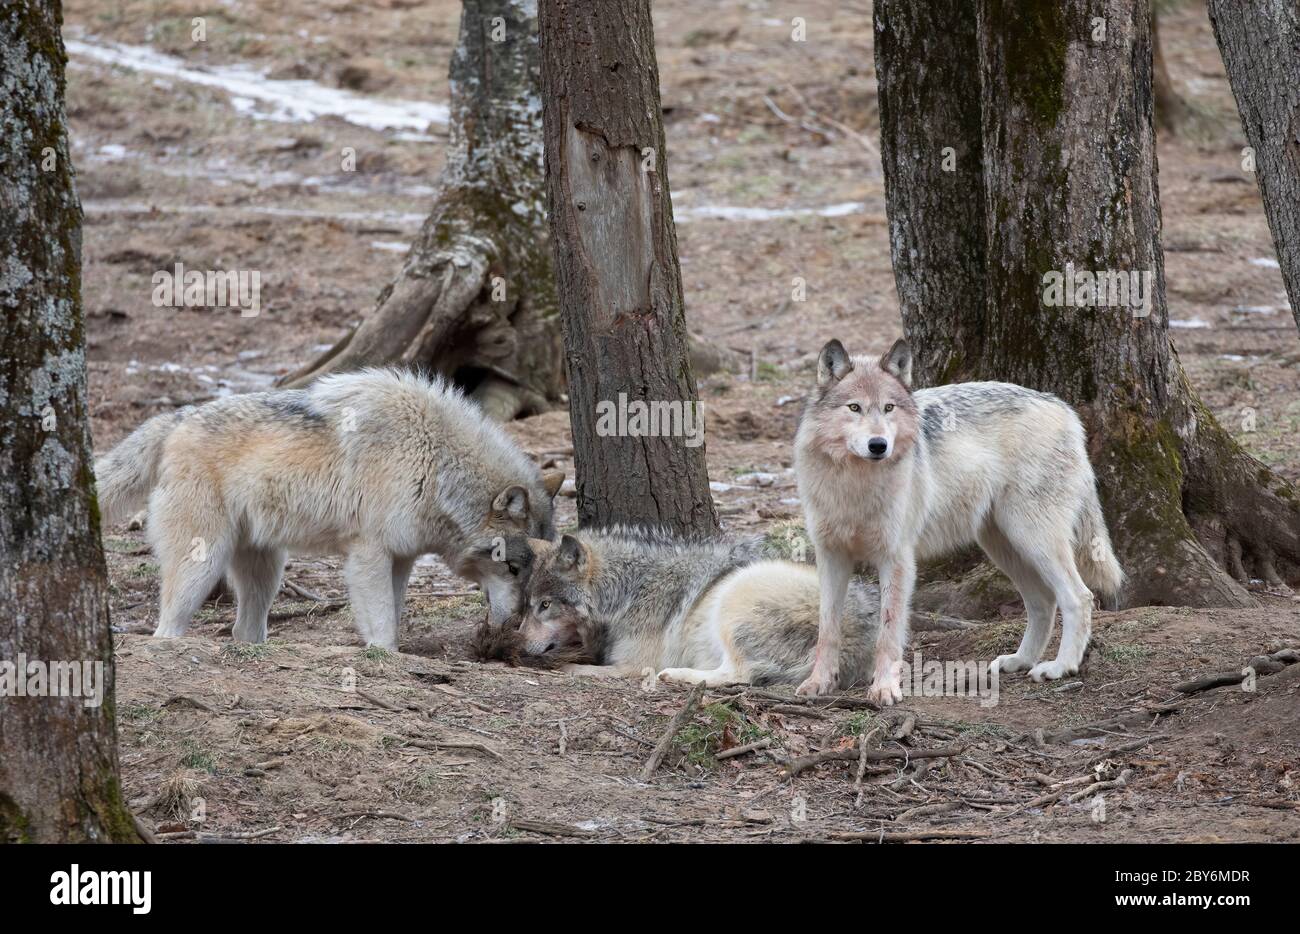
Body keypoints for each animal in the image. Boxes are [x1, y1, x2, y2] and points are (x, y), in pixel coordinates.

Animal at [91, 372, 559, 650]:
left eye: (527, 572)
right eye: (511, 568)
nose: (515, 624)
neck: (433, 459)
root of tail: (175, 419)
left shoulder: (402, 558)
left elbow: (394, 612)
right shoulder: (369, 552)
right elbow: (382, 623)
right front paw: (384, 657)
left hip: (267, 571)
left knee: (245, 630)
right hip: (200, 566)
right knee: (165, 627)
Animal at [501, 530, 878, 692]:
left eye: (545, 605)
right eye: (528, 606)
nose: (516, 645)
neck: (627, 591)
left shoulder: (632, 664)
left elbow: (584, 668)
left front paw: (563, 667)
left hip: (736, 596)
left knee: (740, 673)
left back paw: (675, 676)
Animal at [795, 340, 1123, 707]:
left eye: (889, 408)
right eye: (854, 408)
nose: (879, 445)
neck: (854, 483)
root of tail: (1063, 408)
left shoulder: (896, 558)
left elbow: (888, 631)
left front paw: (884, 688)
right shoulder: (831, 556)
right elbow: (827, 629)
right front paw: (819, 683)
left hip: (1033, 539)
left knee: (1078, 597)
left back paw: (1059, 667)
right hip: (1004, 546)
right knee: (1043, 601)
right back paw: (1020, 660)